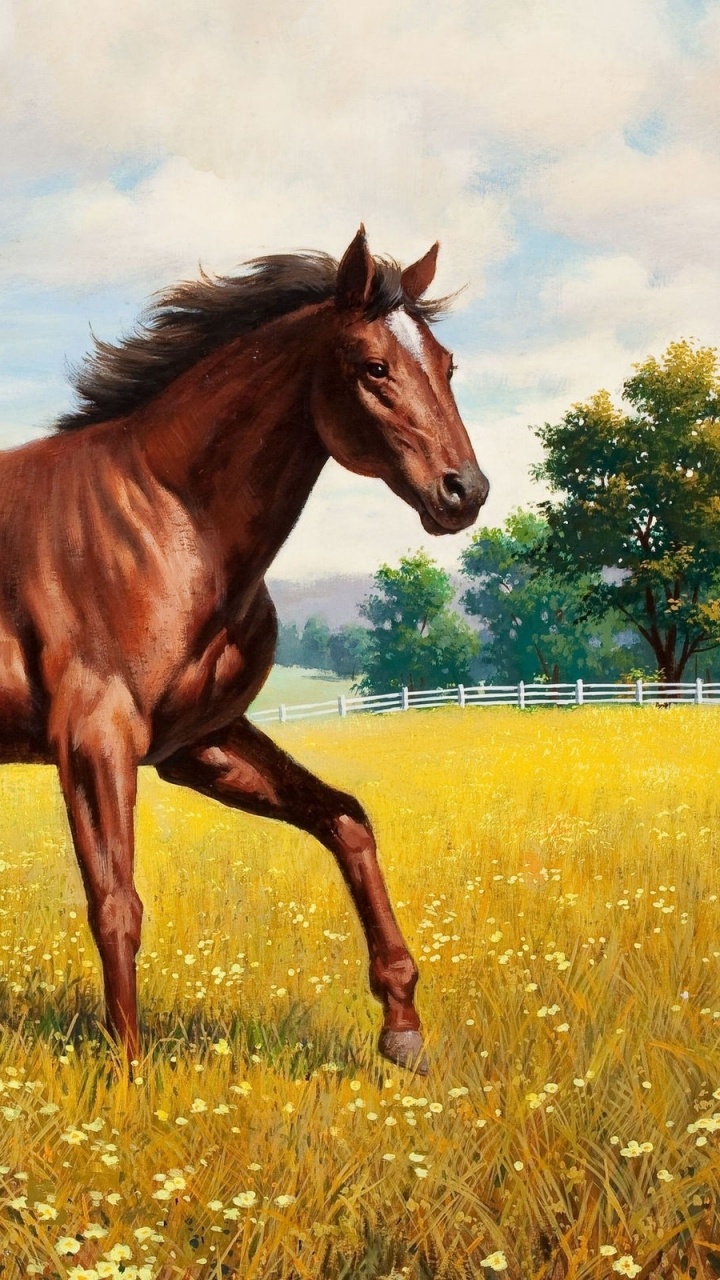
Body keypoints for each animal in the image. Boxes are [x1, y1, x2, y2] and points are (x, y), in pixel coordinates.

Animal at [0, 227, 488, 1073]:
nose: (466, 492)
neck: (166, 518)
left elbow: (346, 819)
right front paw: (128, 1074)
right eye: (374, 367)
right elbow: (115, 903)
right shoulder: (94, 740)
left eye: (447, 364)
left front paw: (402, 1029)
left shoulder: (201, 744)